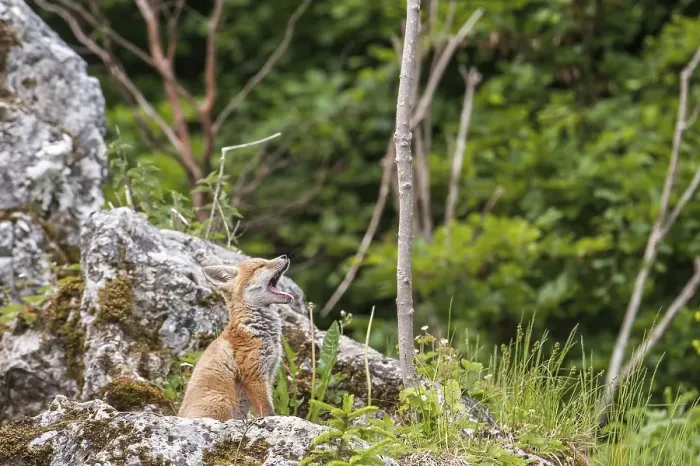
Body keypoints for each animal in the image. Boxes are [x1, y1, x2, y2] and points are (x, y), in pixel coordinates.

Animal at [177, 254, 294, 421]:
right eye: (260, 266)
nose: (285, 256)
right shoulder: (254, 375)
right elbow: (267, 410)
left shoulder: (269, 373)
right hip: (223, 402)